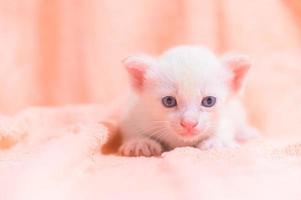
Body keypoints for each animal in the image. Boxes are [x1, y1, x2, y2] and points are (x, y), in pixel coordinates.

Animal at [117, 45, 258, 156]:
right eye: (169, 101)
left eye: (209, 101)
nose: (189, 123)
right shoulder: (134, 110)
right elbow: (131, 126)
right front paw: (139, 142)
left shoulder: (228, 114)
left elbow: (225, 126)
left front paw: (218, 142)